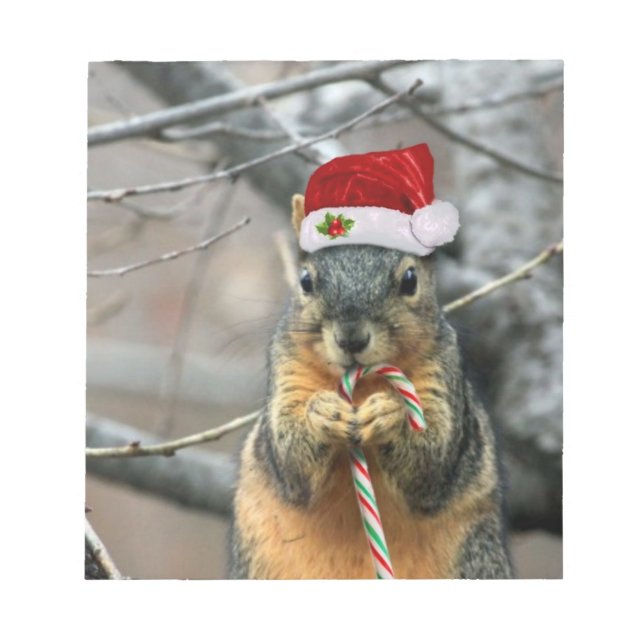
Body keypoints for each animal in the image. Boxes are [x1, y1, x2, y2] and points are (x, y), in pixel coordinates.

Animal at [229, 145, 513, 579]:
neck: (359, 384)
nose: (351, 338)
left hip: (476, 561)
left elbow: (432, 461)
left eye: (410, 280)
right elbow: (290, 460)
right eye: (306, 281)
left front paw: (389, 413)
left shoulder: (441, 376)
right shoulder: (286, 372)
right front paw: (322, 413)